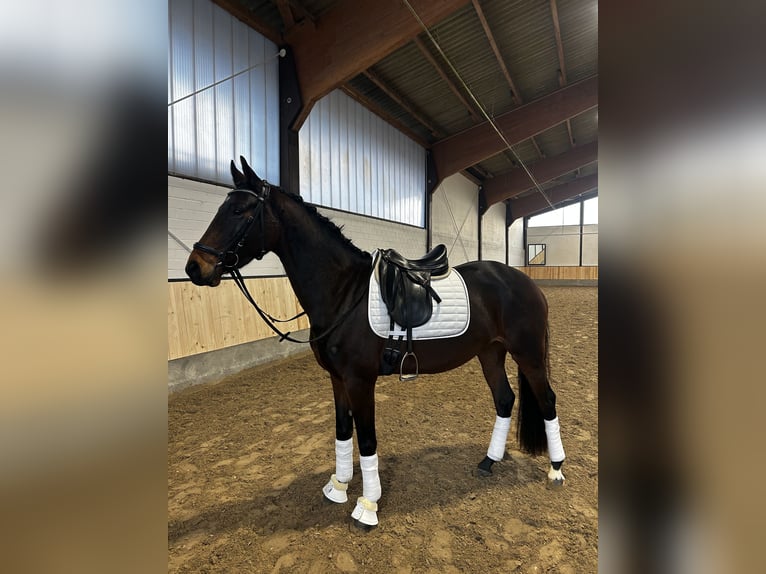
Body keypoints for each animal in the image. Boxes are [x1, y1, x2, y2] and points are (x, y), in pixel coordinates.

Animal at [187, 158, 568, 532]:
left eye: (239, 210)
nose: (195, 267)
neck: (343, 293)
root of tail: (523, 281)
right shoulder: (337, 379)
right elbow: (343, 432)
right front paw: (339, 487)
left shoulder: (359, 380)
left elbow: (367, 439)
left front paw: (367, 506)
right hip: (490, 353)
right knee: (504, 400)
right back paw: (489, 461)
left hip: (528, 355)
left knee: (547, 400)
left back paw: (556, 469)